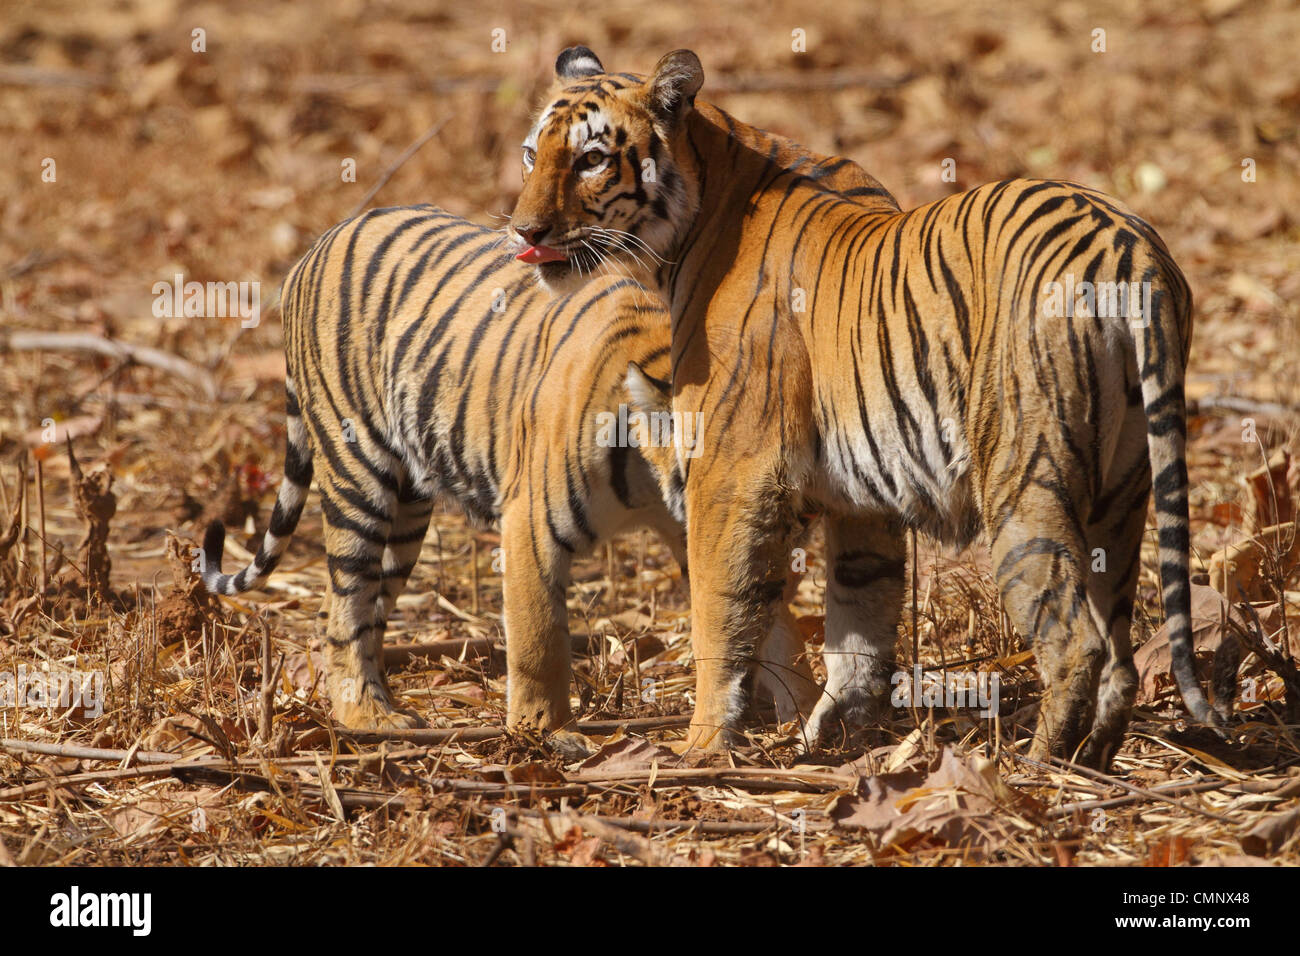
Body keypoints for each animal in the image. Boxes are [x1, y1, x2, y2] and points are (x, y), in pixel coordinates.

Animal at [504, 48, 1206, 775]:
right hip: (1124, 490)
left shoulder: (732, 472)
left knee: (1075, 641)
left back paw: (1035, 768)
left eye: (590, 159)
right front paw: (837, 735)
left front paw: (703, 746)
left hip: (1026, 476)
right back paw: (1096, 758)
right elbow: (860, 618)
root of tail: (1130, 247)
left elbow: (720, 611)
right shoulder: (863, 496)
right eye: (531, 153)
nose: (524, 231)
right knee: (1121, 649)